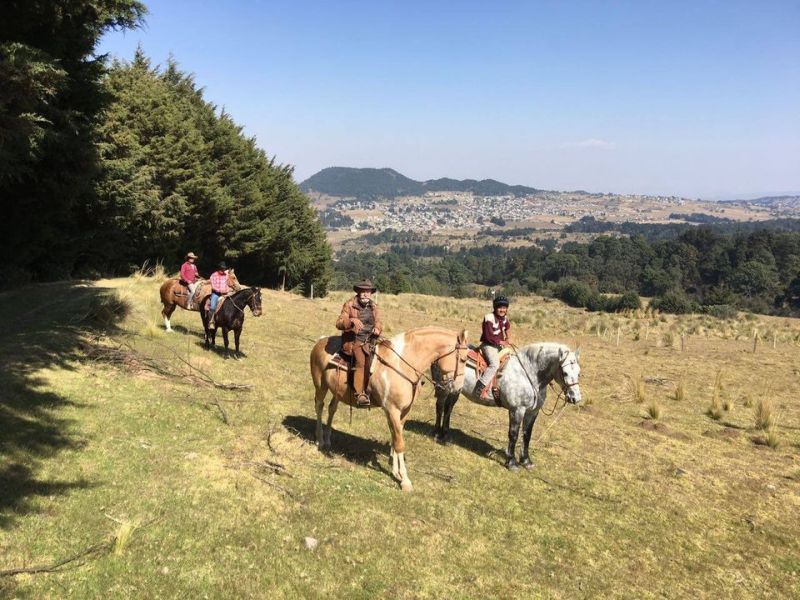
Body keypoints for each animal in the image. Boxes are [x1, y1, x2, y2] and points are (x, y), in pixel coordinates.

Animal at [308, 328, 468, 492]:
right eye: (463, 360)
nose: (457, 389)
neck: (402, 365)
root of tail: (320, 341)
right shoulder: (392, 410)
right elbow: (399, 443)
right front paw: (405, 480)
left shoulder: (403, 412)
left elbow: (395, 438)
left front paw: (396, 471)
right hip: (320, 386)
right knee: (319, 407)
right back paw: (320, 440)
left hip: (337, 392)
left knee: (331, 409)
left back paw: (327, 440)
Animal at [432, 344, 580, 472]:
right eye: (565, 373)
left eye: (579, 372)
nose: (576, 398)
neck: (528, 375)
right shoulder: (517, 410)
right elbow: (513, 435)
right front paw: (512, 462)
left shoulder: (532, 412)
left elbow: (527, 435)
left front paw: (526, 461)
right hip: (443, 388)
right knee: (440, 407)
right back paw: (437, 435)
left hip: (455, 391)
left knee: (448, 408)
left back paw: (446, 436)